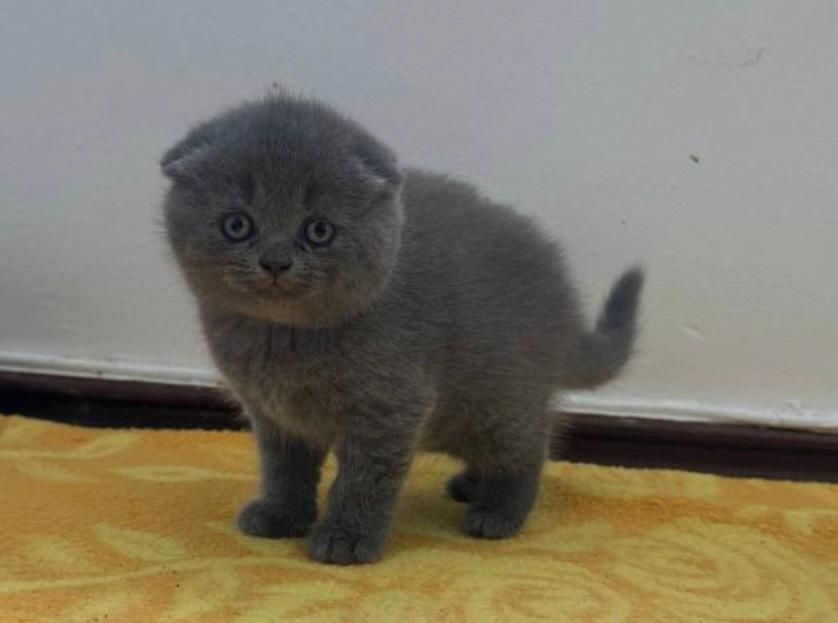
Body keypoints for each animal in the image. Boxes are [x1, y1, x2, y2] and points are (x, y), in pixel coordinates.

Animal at [159, 92, 644, 564]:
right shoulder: (275, 417)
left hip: (498, 400)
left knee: (528, 447)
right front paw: (281, 516)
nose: (275, 262)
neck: (284, 338)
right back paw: (470, 485)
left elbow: (365, 477)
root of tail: (566, 307)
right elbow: (284, 470)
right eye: (237, 224)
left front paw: (346, 538)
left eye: (318, 230)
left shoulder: (391, 406)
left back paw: (498, 513)